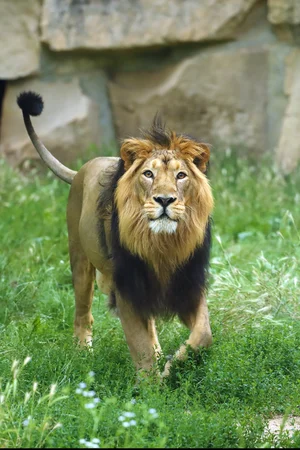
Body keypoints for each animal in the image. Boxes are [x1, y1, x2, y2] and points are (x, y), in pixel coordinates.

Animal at [17, 89, 213, 378]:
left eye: (181, 175)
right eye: (148, 174)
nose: (164, 200)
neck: (162, 245)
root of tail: (83, 167)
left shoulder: (188, 282)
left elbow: (203, 335)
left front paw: (171, 366)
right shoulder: (127, 288)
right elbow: (141, 348)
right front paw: (153, 384)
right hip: (80, 262)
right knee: (83, 314)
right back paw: (83, 355)